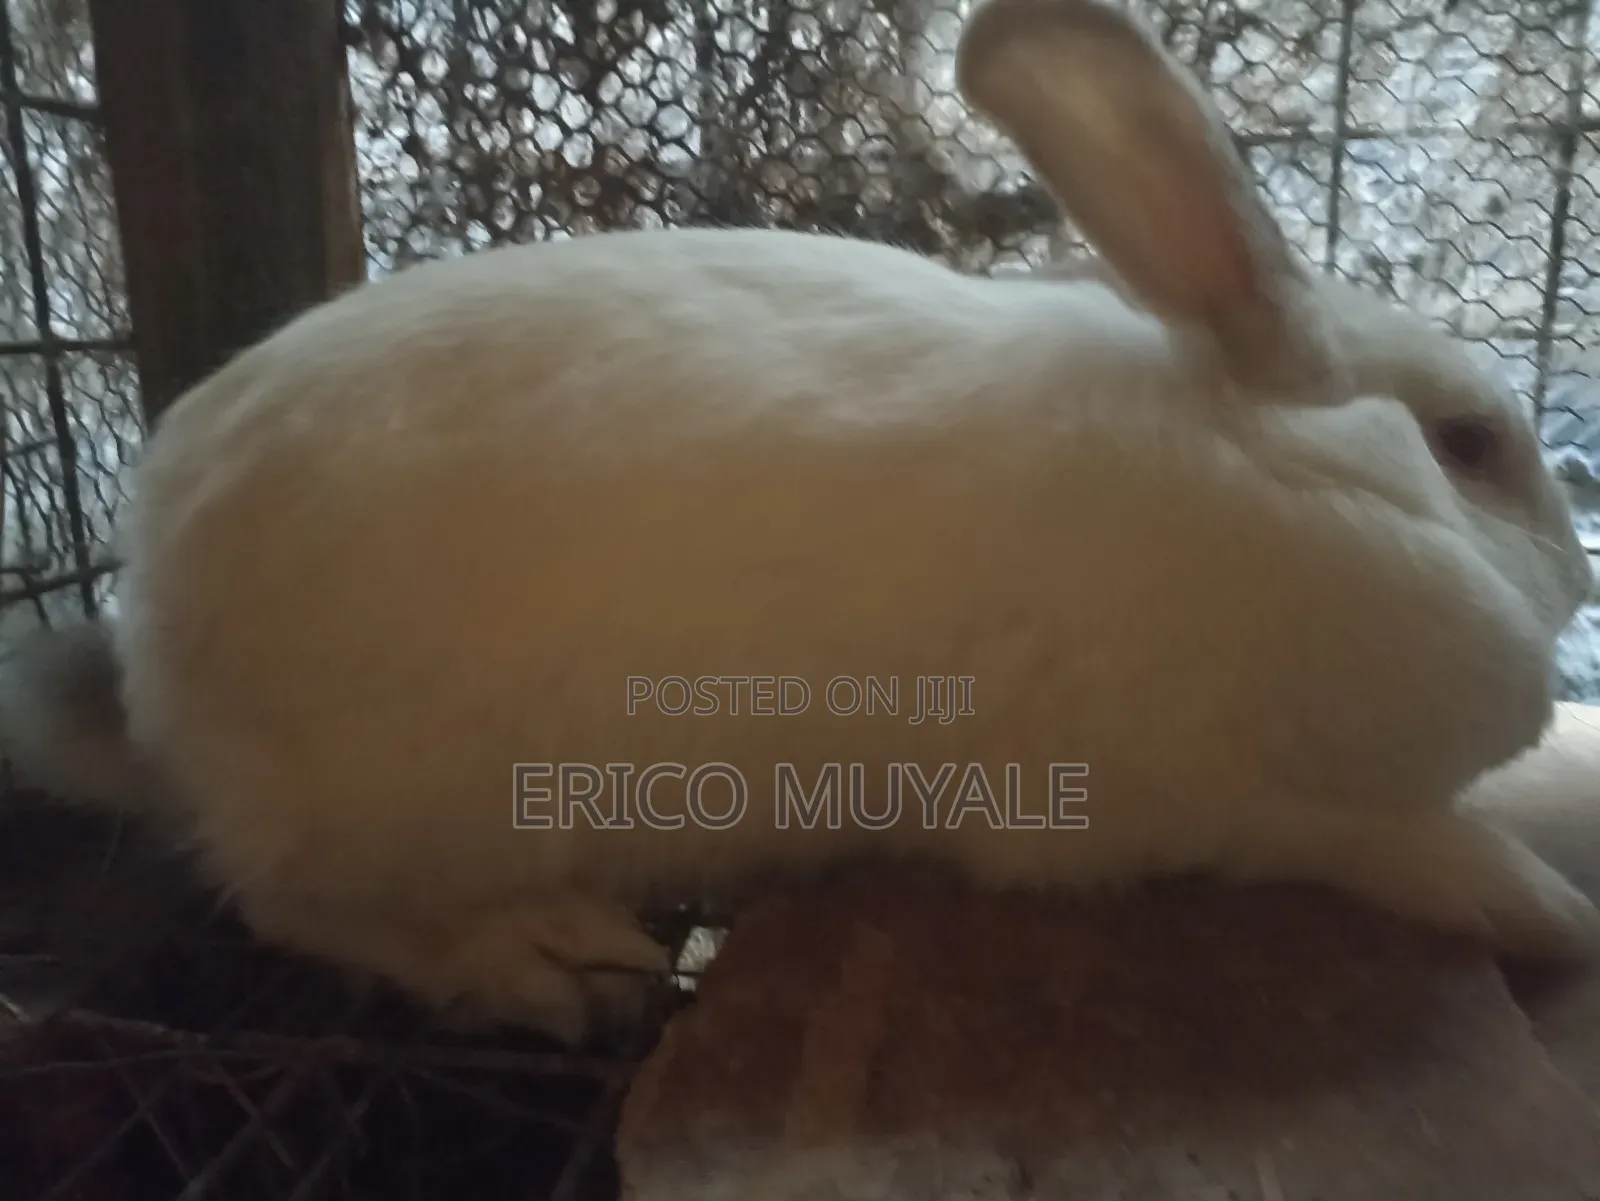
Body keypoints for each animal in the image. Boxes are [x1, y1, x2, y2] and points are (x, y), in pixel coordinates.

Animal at [2, 0, 1597, 1047]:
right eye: (1470, 445)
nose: (1576, 579)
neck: (1260, 463)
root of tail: (151, 664)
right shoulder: (1197, 799)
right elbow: (1392, 846)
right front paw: (1537, 906)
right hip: (391, 803)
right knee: (291, 905)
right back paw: (541, 957)